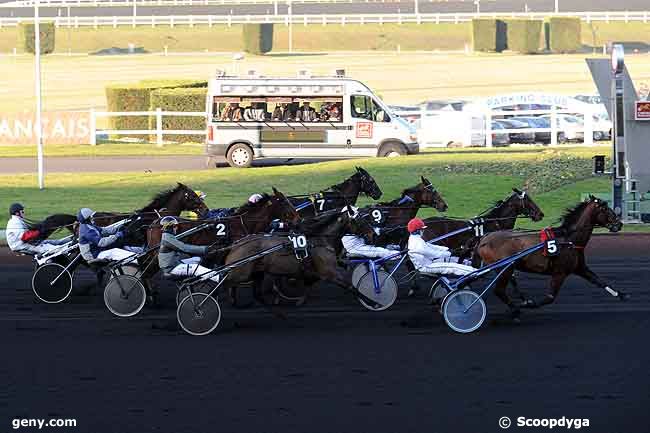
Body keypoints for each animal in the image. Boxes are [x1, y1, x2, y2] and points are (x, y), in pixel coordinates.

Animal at [476, 194, 624, 318]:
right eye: (605, 209)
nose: (619, 224)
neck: (569, 239)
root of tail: (484, 239)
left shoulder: (580, 268)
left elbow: (599, 281)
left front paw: (621, 294)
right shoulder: (560, 272)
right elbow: (550, 297)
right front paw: (530, 303)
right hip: (505, 269)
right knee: (499, 291)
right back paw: (515, 309)